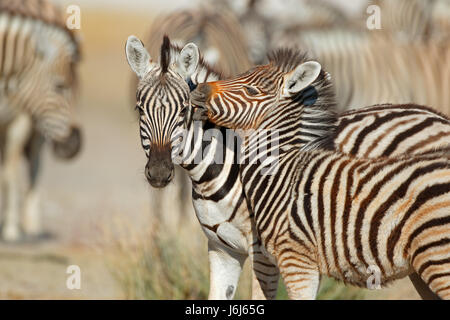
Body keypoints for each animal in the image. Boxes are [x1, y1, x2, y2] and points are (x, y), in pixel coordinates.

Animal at [0, 0, 81, 240]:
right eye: (59, 86)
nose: (75, 143)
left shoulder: (18, 118)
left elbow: (10, 173)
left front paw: (11, 230)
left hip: (35, 126)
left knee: (34, 166)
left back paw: (31, 225)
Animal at [128, 38, 450, 298]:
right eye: (139, 109)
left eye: (183, 110)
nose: (159, 173)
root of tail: (434, 115)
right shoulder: (222, 250)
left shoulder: (265, 254)